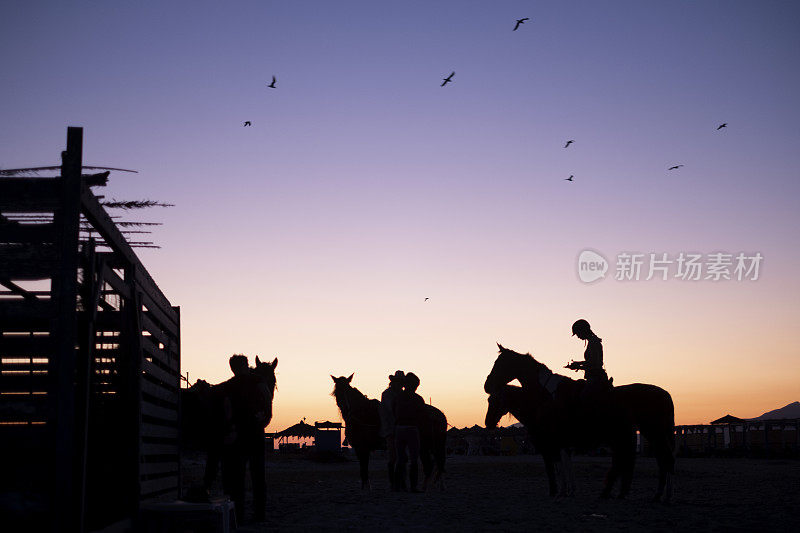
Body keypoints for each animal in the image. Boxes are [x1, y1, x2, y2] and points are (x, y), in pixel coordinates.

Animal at [484, 342, 672, 500]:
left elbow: (554, 468)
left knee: (659, 459)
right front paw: (566, 491)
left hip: (644, 433)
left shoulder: (552, 443)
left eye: (499, 363)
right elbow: (562, 467)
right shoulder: (561, 444)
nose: (487, 385)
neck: (545, 394)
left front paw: (558, 491)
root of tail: (664, 394)